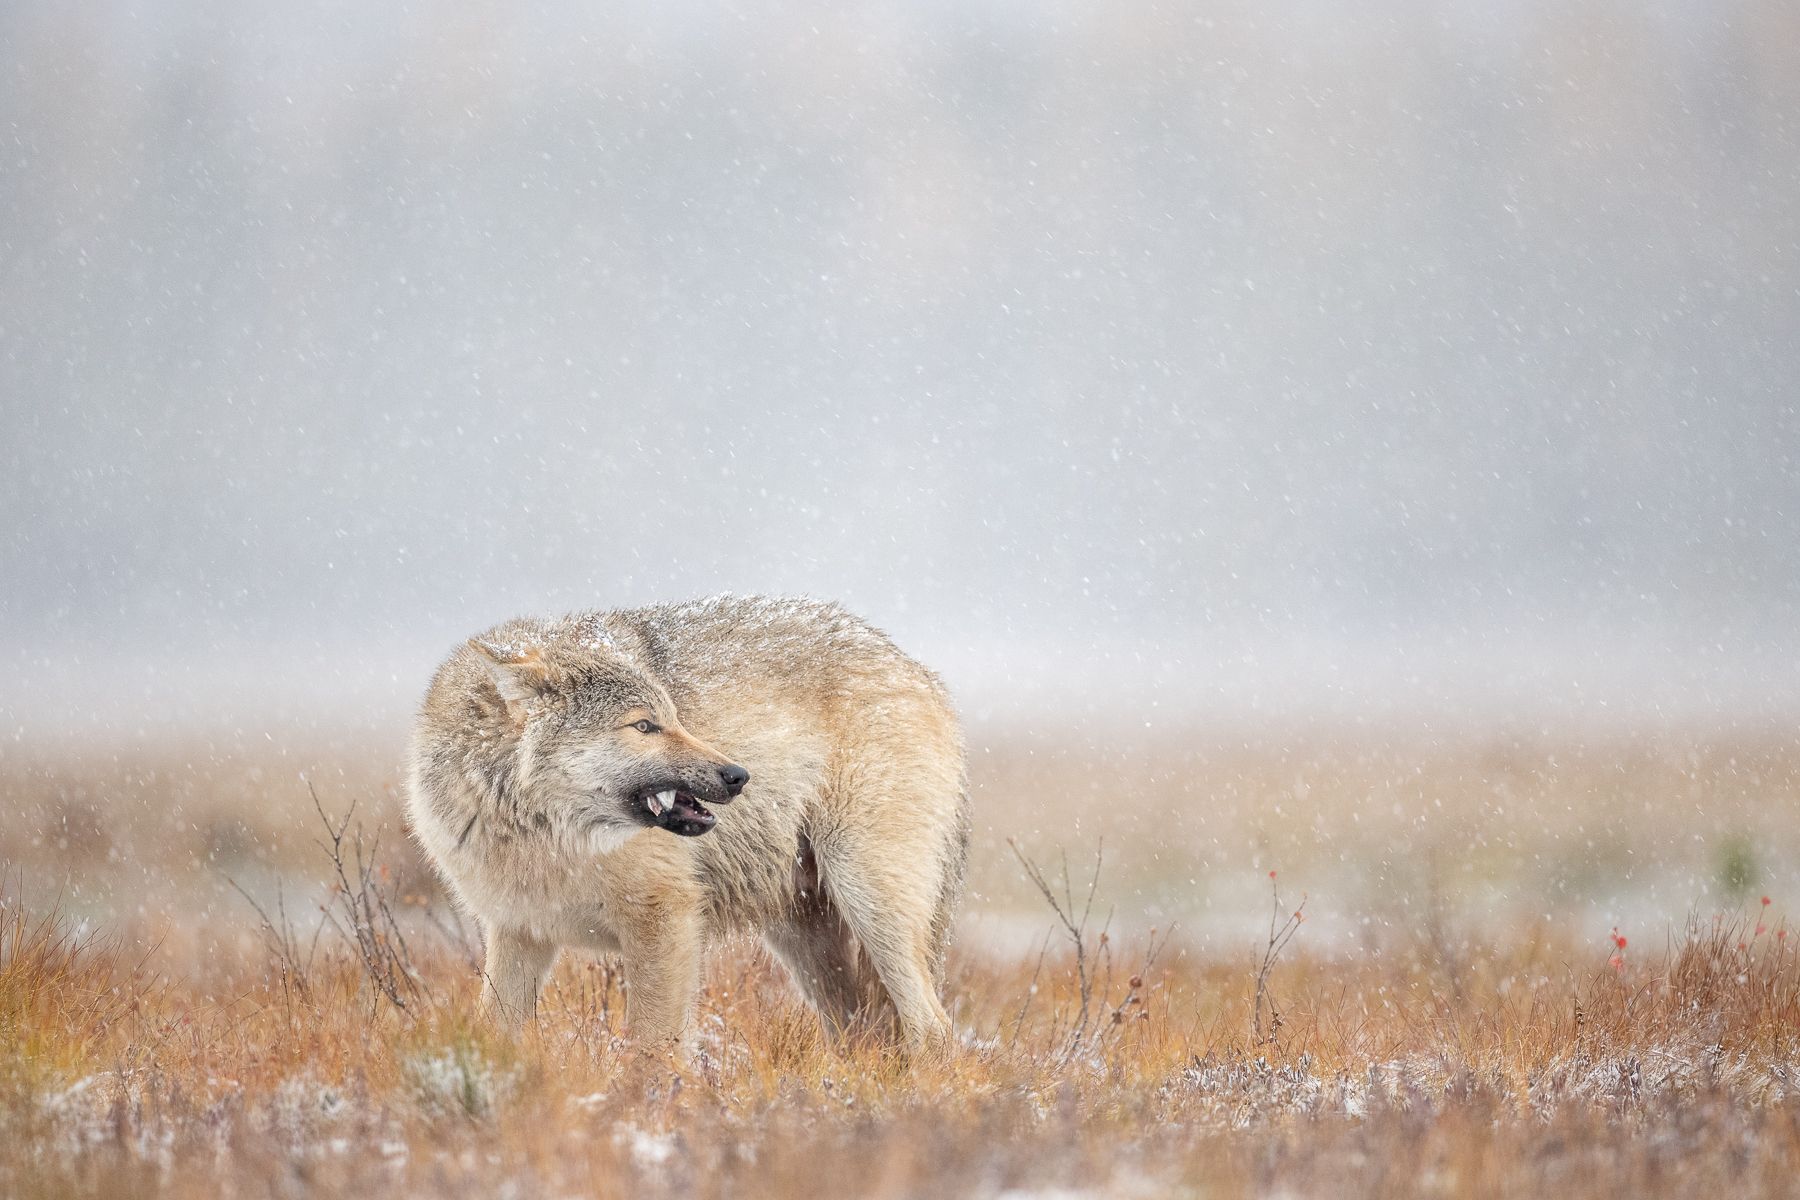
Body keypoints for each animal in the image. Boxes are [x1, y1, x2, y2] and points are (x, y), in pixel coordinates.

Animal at [406, 595, 969, 1053]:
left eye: (674, 718)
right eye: (645, 726)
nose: (738, 775)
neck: (543, 836)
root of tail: (921, 672)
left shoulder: (666, 918)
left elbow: (653, 1048)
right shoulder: (519, 930)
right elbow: (494, 1031)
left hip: (866, 896)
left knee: (932, 1029)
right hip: (802, 933)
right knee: (859, 1032)